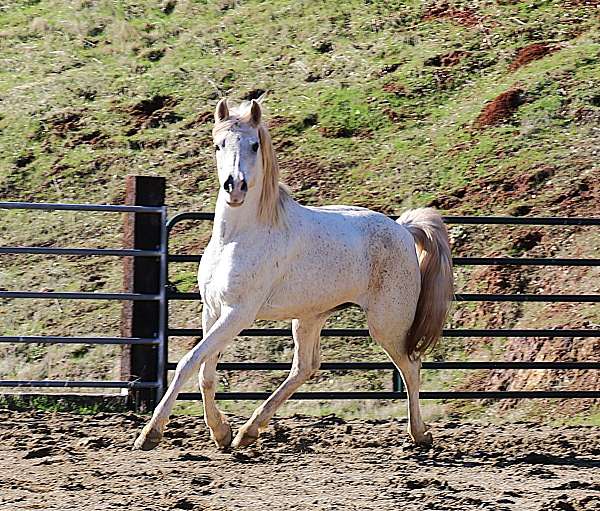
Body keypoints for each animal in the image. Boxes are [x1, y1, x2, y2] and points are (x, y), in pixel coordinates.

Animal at [136, 98, 452, 450]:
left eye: (254, 144)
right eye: (219, 144)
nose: (235, 186)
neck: (238, 237)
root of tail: (403, 228)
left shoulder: (237, 314)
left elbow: (187, 363)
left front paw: (150, 433)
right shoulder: (213, 310)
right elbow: (206, 372)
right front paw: (221, 432)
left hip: (388, 324)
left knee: (410, 365)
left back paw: (420, 434)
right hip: (310, 317)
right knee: (305, 367)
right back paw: (248, 432)